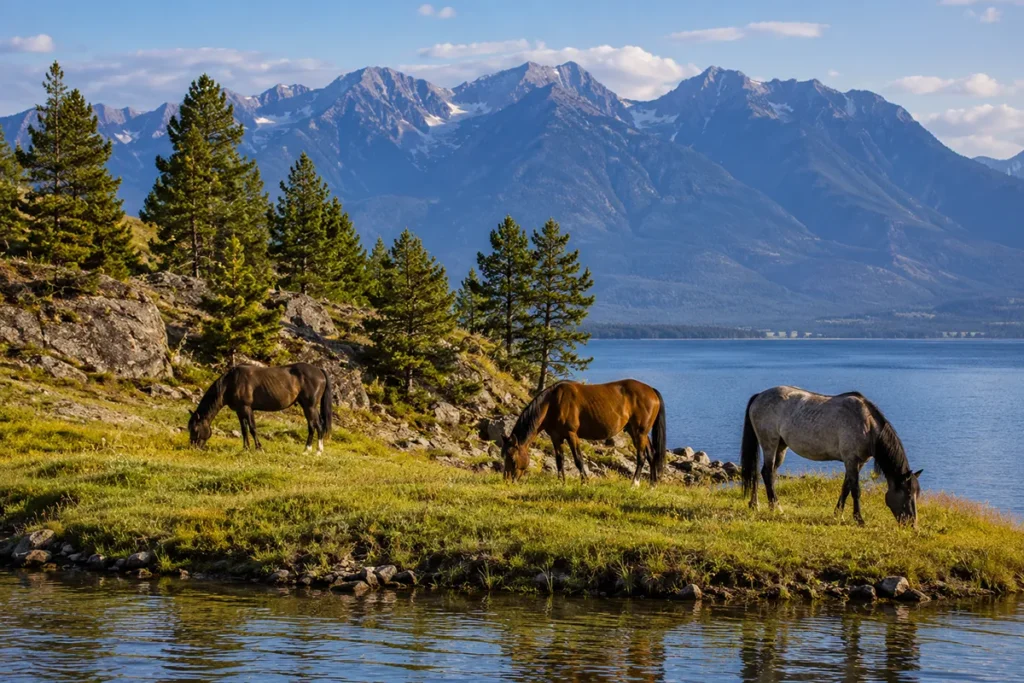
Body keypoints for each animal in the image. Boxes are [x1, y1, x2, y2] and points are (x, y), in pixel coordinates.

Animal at [188, 363, 333, 452]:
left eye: (195, 429)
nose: (193, 447)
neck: (231, 383)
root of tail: (319, 371)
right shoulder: (239, 411)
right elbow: (244, 430)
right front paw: (246, 448)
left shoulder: (247, 408)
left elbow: (252, 428)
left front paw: (259, 448)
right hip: (306, 406)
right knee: (313, 426)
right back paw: (309, 450)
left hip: (310, 406)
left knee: (317, 425)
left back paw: (315, 451)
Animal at [501, 379, 667, 486]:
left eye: (513, 459)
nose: (507, 481)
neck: (553, 402)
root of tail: (651, 390)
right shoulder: (555, 437)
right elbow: (559, 460)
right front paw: (561, 482)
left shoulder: (572, 434)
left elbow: (578, 459)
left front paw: (585, 482)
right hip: (636, 432)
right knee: (652, 454)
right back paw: (652, 485)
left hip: (640, 433)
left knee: (641, 457)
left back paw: (634, 484)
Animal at [740, 386, 922, 526]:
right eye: (907, 494)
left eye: (916, 494)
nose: (912, 524)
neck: (867, 424)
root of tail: (759, 396)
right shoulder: (851, 460)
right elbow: (855, 490)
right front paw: (859, 519)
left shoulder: (858, 462)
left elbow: (845, 488)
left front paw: (837, 514)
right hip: (769, 444)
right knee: (767, 473)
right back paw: (776, 508)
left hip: (780, 447)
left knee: (762, 473)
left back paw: (755, 505)